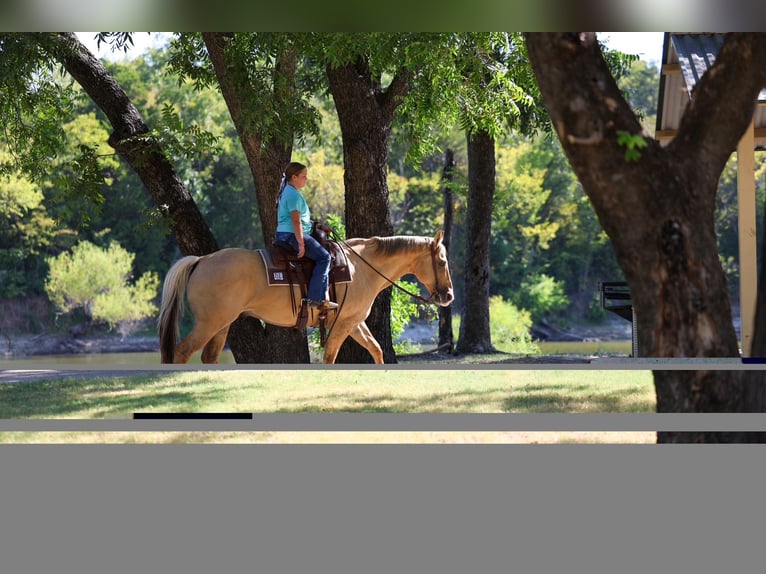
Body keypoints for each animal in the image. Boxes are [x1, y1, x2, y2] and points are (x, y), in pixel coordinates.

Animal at [157, 230, 454, 364]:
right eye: (441, 262)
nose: (449, 295)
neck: (360, 268)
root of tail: (202, 260)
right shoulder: (343, 323)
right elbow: (330, 356)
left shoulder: (355, 322)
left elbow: (376, 349)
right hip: (209, 323)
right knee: (182, 352)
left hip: (222, 324)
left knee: (209, 356)